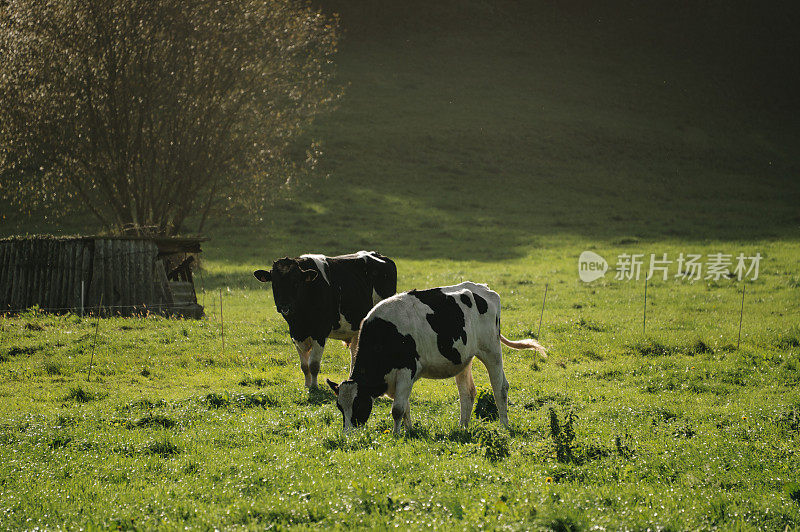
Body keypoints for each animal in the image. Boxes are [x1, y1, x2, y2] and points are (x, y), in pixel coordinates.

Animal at [253, 251, 396, 388]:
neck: (300, 319)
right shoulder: (295, 334)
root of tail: (377, 254)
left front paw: (314, 386)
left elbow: (313, 364)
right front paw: (306, 385)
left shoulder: (320, 332)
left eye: (296, 282)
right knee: (355, 352)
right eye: (275, 283)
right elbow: (304, 366)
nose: (284, 305)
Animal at [324, 280, 544, 434]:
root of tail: (483, 289)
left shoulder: (407, 370)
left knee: (500, 388)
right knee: (467, 393)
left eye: (358, 404)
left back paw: (504, 425)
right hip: (463, 359)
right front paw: (409, 431)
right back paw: (462, 427)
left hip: (491, 350)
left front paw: (396, 435)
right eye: (339, 407)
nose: (348, 435)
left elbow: (397, 409)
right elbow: (405, 407)